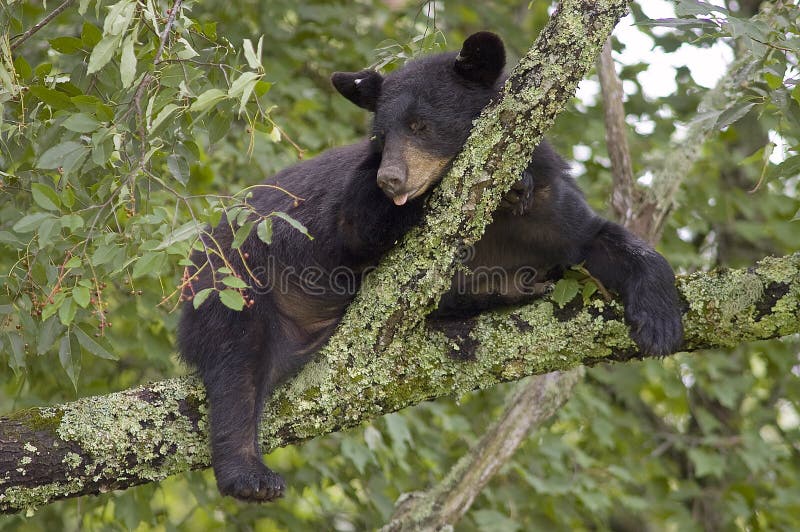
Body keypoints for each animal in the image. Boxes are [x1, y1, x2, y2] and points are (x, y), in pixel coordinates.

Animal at [178, 31, 683, 502]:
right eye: (382, 136)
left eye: (420, 125)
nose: (391, 178)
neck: (495, 220)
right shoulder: (351, 214)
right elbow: (355, 224)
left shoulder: (549, 214)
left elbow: (599, 239)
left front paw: (660, 320)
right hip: (233, 287)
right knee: (238, 370)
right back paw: (249, 474)